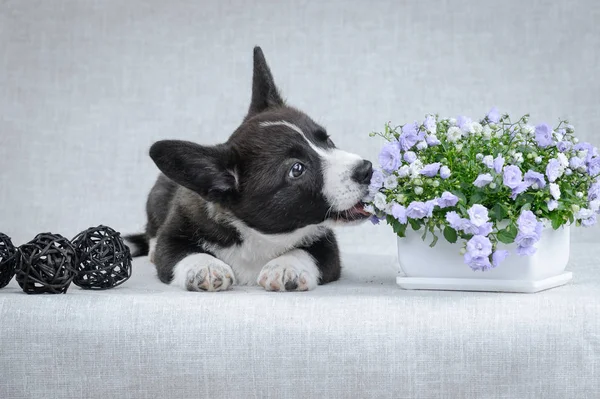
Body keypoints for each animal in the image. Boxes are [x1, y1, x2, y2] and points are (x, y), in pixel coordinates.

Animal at [125, 47, 370, 292]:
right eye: (297, 169)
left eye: (327, 139)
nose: (367, 170)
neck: (260, 236)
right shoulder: (174, 236)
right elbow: (181, 253)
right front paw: (205, 266)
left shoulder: (327, 248)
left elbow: (305, 253)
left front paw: (286, 266)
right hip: (157, 195)